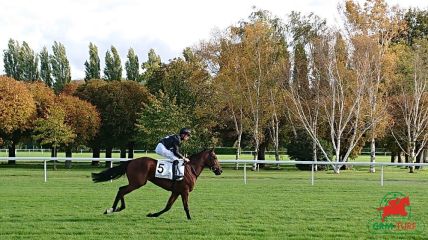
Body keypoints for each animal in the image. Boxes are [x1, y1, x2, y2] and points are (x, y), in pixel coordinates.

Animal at [91, 148, 222, 219]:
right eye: (215, 157)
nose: (220, 170)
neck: (190, 169)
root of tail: (131, 161)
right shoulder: (184, 191)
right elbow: (186, 206)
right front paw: (190, 218)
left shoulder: (176, 191)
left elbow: (168, 207)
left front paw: (152, 214)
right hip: (137, 183)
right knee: (122, 190)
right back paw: (112, 209)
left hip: (136, 183)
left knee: (121, 189)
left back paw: (117, 208)